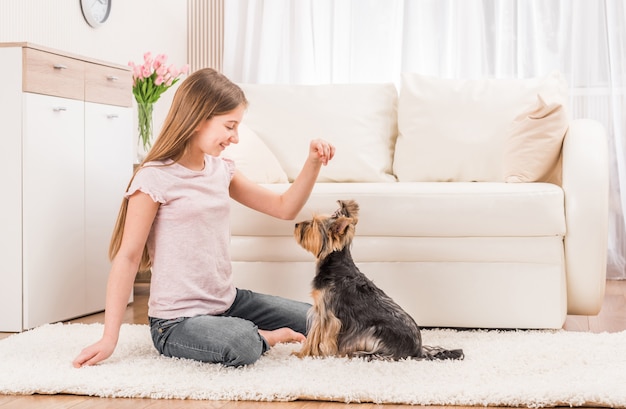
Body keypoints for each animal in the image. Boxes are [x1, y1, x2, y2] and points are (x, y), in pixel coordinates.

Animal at [290, 200, 460, 360]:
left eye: (313, 224)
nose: (296, 224)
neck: (334, 263)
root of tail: (417, 350)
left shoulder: (325, 313)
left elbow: (315, 336)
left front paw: (303, 354)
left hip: (375, 332)